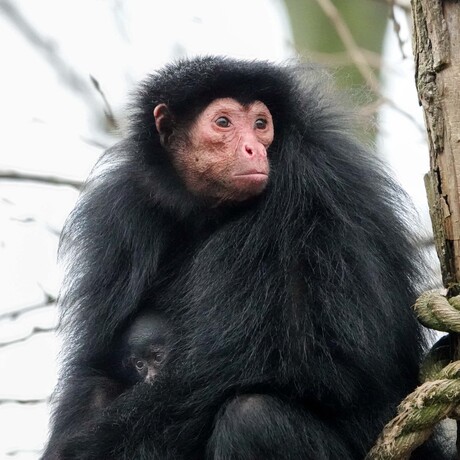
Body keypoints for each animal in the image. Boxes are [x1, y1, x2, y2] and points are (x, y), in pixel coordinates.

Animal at [43, 58, 446, 460]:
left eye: (260, 124)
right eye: (223, 123)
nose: (254, 148)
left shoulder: (311, 185)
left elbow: (324, 362)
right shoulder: (120, 211)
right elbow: (94, 368)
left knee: (252, 415)